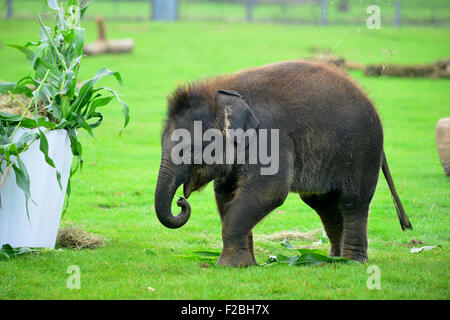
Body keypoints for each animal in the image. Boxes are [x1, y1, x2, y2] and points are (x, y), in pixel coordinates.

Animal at [154, 60, 412, 268]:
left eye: (188, 149)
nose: (180, 200)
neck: (223, 92)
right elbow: (226, 194)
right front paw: (244, 265)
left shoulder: (270, 136)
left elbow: (269, 191)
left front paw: (227, 266)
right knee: (323, 204)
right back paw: (331, 260)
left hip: (362, 151)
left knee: (352, 202)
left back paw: (352, 261)